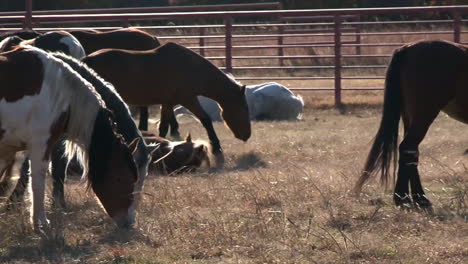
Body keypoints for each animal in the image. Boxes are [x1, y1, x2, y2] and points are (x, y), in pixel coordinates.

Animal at [0, 46, 139, 231]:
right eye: (121, 178)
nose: (129, 221)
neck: (61, 93)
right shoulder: (41, 144)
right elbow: (37, 182)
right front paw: (40, 222)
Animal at [83, 41, 252, 165]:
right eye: (244, 108)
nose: (247, 135)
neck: (189, 67)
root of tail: (87, 60)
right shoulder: (188, 99)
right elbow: (206, 120)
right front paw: (217, 148)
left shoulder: (168, 103)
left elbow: (164, 126)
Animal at [354, 39, 468, 209]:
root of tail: (407, 48)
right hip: (424, 113)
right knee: (408, 148)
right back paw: (408, 198)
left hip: (410, 115)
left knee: (411, 152)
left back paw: (415, 198)